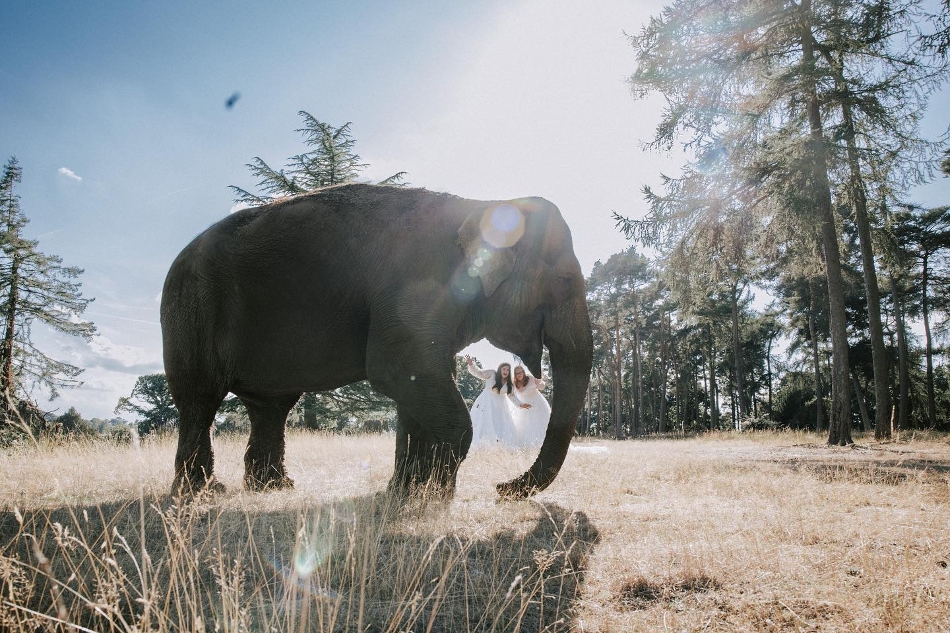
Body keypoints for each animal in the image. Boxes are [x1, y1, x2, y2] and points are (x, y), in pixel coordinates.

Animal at [162, 183, 596, 498]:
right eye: (565, 281)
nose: (502, 488)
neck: (483, 204)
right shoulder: (415, 290)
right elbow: (398, 369)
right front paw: (434, 497)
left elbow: (416, 382)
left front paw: (405, 493)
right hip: (191, 313)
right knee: (200, 399)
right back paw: (203, 492)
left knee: (271, 408)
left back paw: (272, 488)